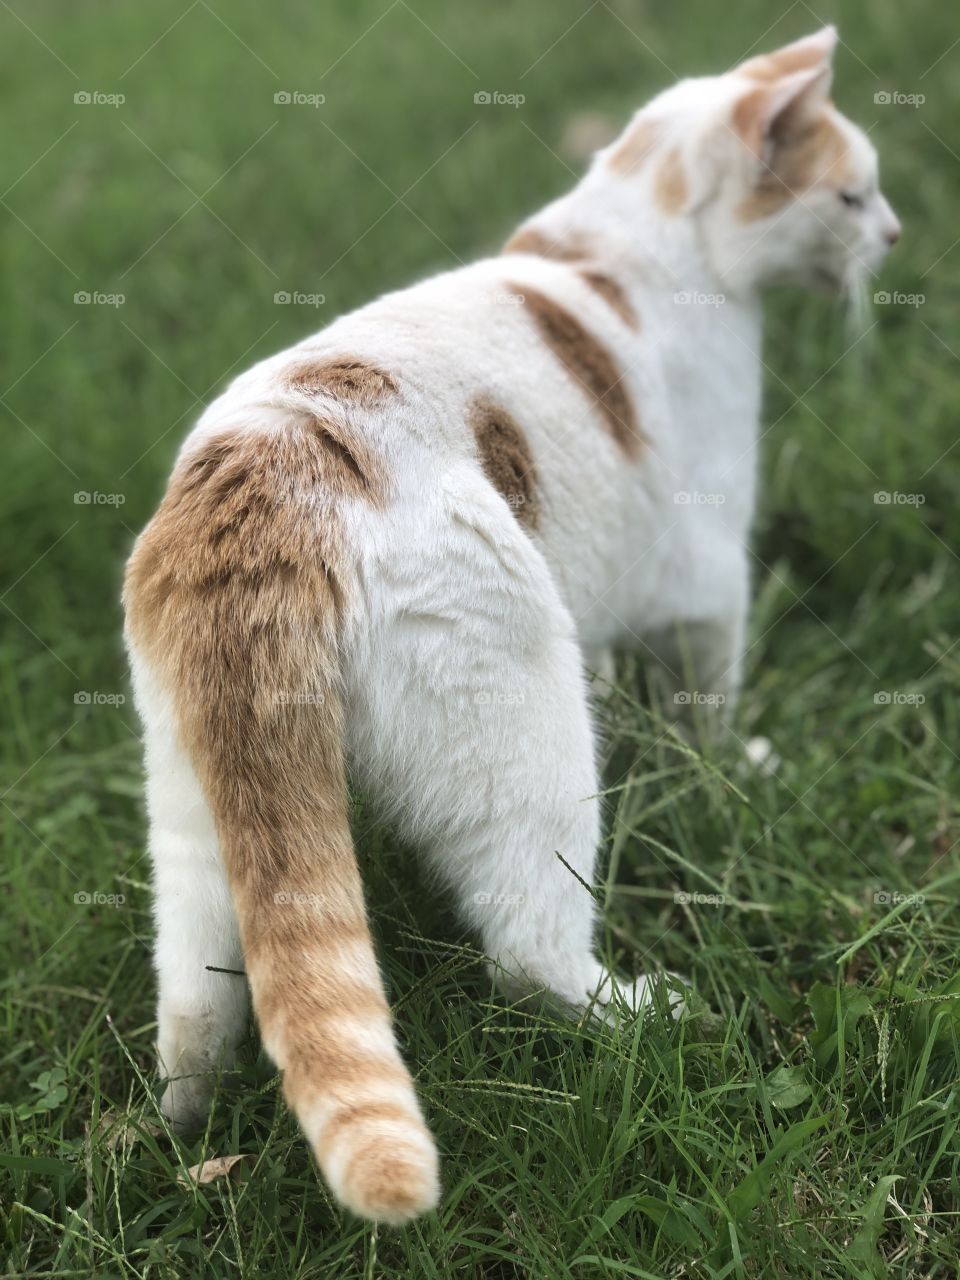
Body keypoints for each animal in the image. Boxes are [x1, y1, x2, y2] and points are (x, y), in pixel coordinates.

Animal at [122, 24, 901, 1223]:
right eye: (854, 195)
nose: (897, 234)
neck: (626, 234)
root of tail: (267, 481)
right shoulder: (707, 566)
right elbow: (711, 696)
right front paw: (736, 764)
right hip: (527, 717)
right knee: (528, 955)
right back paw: (648, 1011)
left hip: (191, 801)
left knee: (202, 997)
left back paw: (190, 1139)